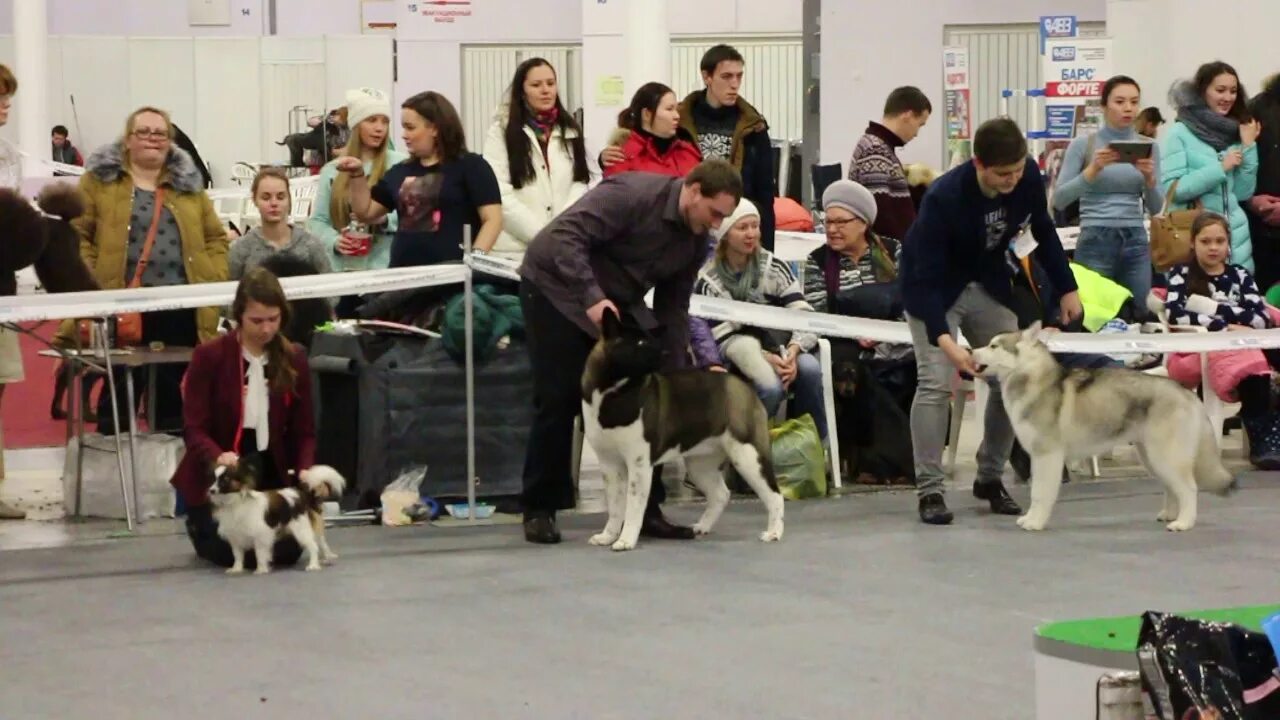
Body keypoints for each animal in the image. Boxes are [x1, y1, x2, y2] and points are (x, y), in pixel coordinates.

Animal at [211, 458, 348, 571]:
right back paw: (327, 558)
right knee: (321, 542)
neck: (233, 502)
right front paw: (236, 569)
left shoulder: (260, 535)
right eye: (213, 480)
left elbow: (259, 553)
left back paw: (313, 565)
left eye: (225, 480)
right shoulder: (235, 536)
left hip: (301, 529)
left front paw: (261, 570)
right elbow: (238, 555)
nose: (211, 490)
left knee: (313, 546)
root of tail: (303, 495)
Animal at [578, 308, 778, 548]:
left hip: (749, 455)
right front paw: (608, 535)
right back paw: (701, 527)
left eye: (651, 340)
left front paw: (626, 540)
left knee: (774, 495)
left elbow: (633, 505)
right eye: (640, 342)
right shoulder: (609, 463)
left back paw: (774, 532)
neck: (613, 390)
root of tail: (743, 385)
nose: (664, 353)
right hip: (700, 464)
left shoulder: (639, 463)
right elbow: (616, 505)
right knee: (721, 494)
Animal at [972, 322, 1233, 530]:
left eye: (994, 346)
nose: (971, 351)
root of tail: (1186, 392)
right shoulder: (1038, 457)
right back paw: (1170, 515)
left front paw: (1035, 522)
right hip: (1152, 457)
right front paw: (1031, 519)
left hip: (1165, 455)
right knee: (1172, 487)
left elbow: (1039, 493)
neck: (1032, 378)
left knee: (1189, 488)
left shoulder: (1047, 456)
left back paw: (1183, 523)